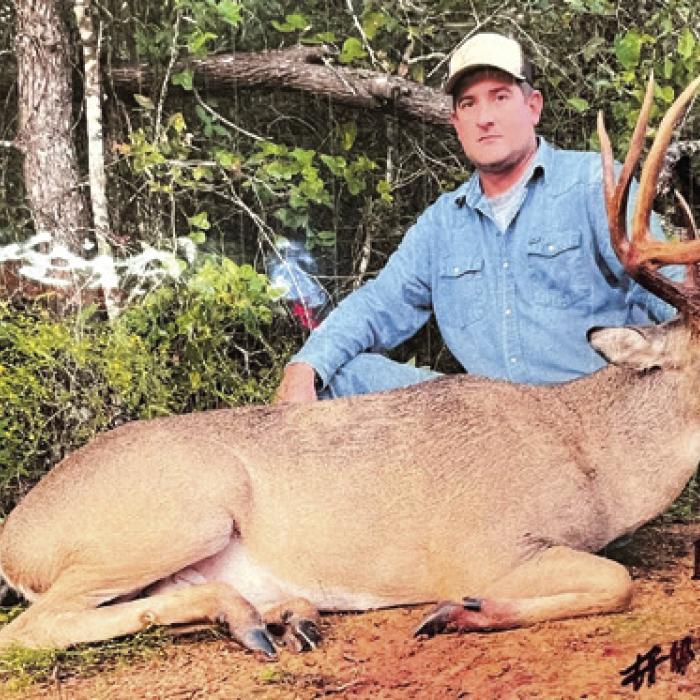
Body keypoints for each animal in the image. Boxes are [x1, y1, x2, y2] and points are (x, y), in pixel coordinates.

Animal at [0, 75, 699, 658]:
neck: (593, 457)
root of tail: (17, 538)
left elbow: (615, 578)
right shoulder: (484, 548)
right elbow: (619, 581)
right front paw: (457, 612)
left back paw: (285, 615)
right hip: (171, 518)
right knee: (32, 629)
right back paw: (252, 619)